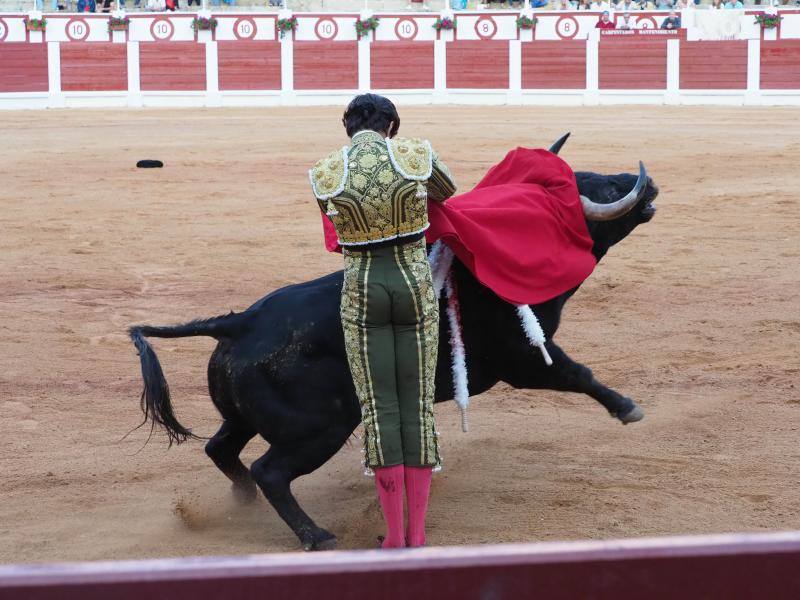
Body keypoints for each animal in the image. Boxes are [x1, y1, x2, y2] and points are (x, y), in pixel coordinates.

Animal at [128, 162, 660, 552]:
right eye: (600, 187)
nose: (647, 181)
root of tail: (238, 322)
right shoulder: (525, 359)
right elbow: (577, 373)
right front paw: (627, 408)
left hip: (247, 415)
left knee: (221, 448)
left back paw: (244, 503)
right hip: (320, 427)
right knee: (270, 471)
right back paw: (317, 536)